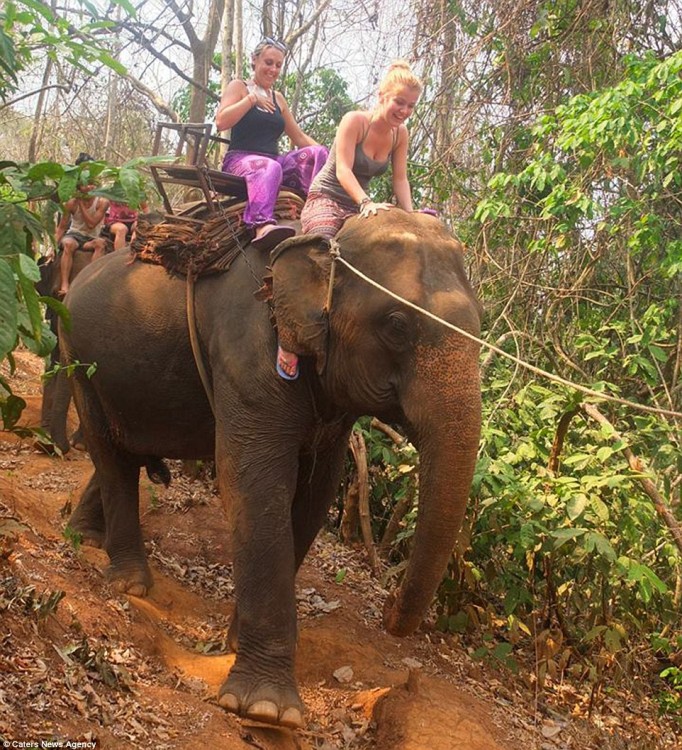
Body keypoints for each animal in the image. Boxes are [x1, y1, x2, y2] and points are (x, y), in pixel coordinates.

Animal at [61, 209, 480, 732]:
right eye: (397, 325)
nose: (388, 609)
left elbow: (317, 490)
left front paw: (237, 643)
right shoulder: (250, 352)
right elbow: (252, 481)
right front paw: (267, 710)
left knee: (126, 451)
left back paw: (85, 537)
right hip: (79, 359)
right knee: (111, 453)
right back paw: (129, 583)